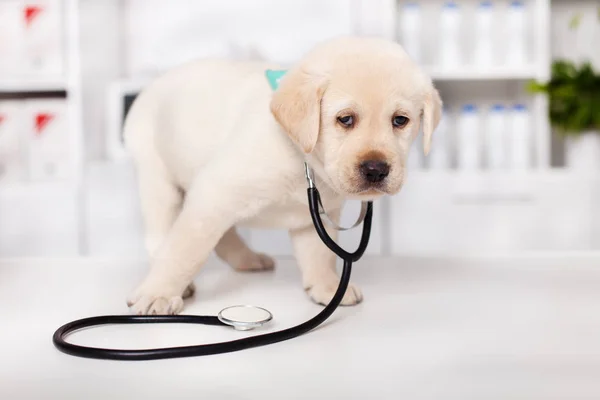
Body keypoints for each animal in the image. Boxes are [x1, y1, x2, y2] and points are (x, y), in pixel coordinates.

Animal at [123, 36, 440, 314]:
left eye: (400, 120)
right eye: (345, 119)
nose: (376, 169)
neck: (301, 156)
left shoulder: (313, 218)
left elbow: (320, 255)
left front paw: (327, 288)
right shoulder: (213, 195)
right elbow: (184, 252)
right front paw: (159, 293)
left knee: (225, 235)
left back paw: (247, 259)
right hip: (157, 178)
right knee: (162, 236)